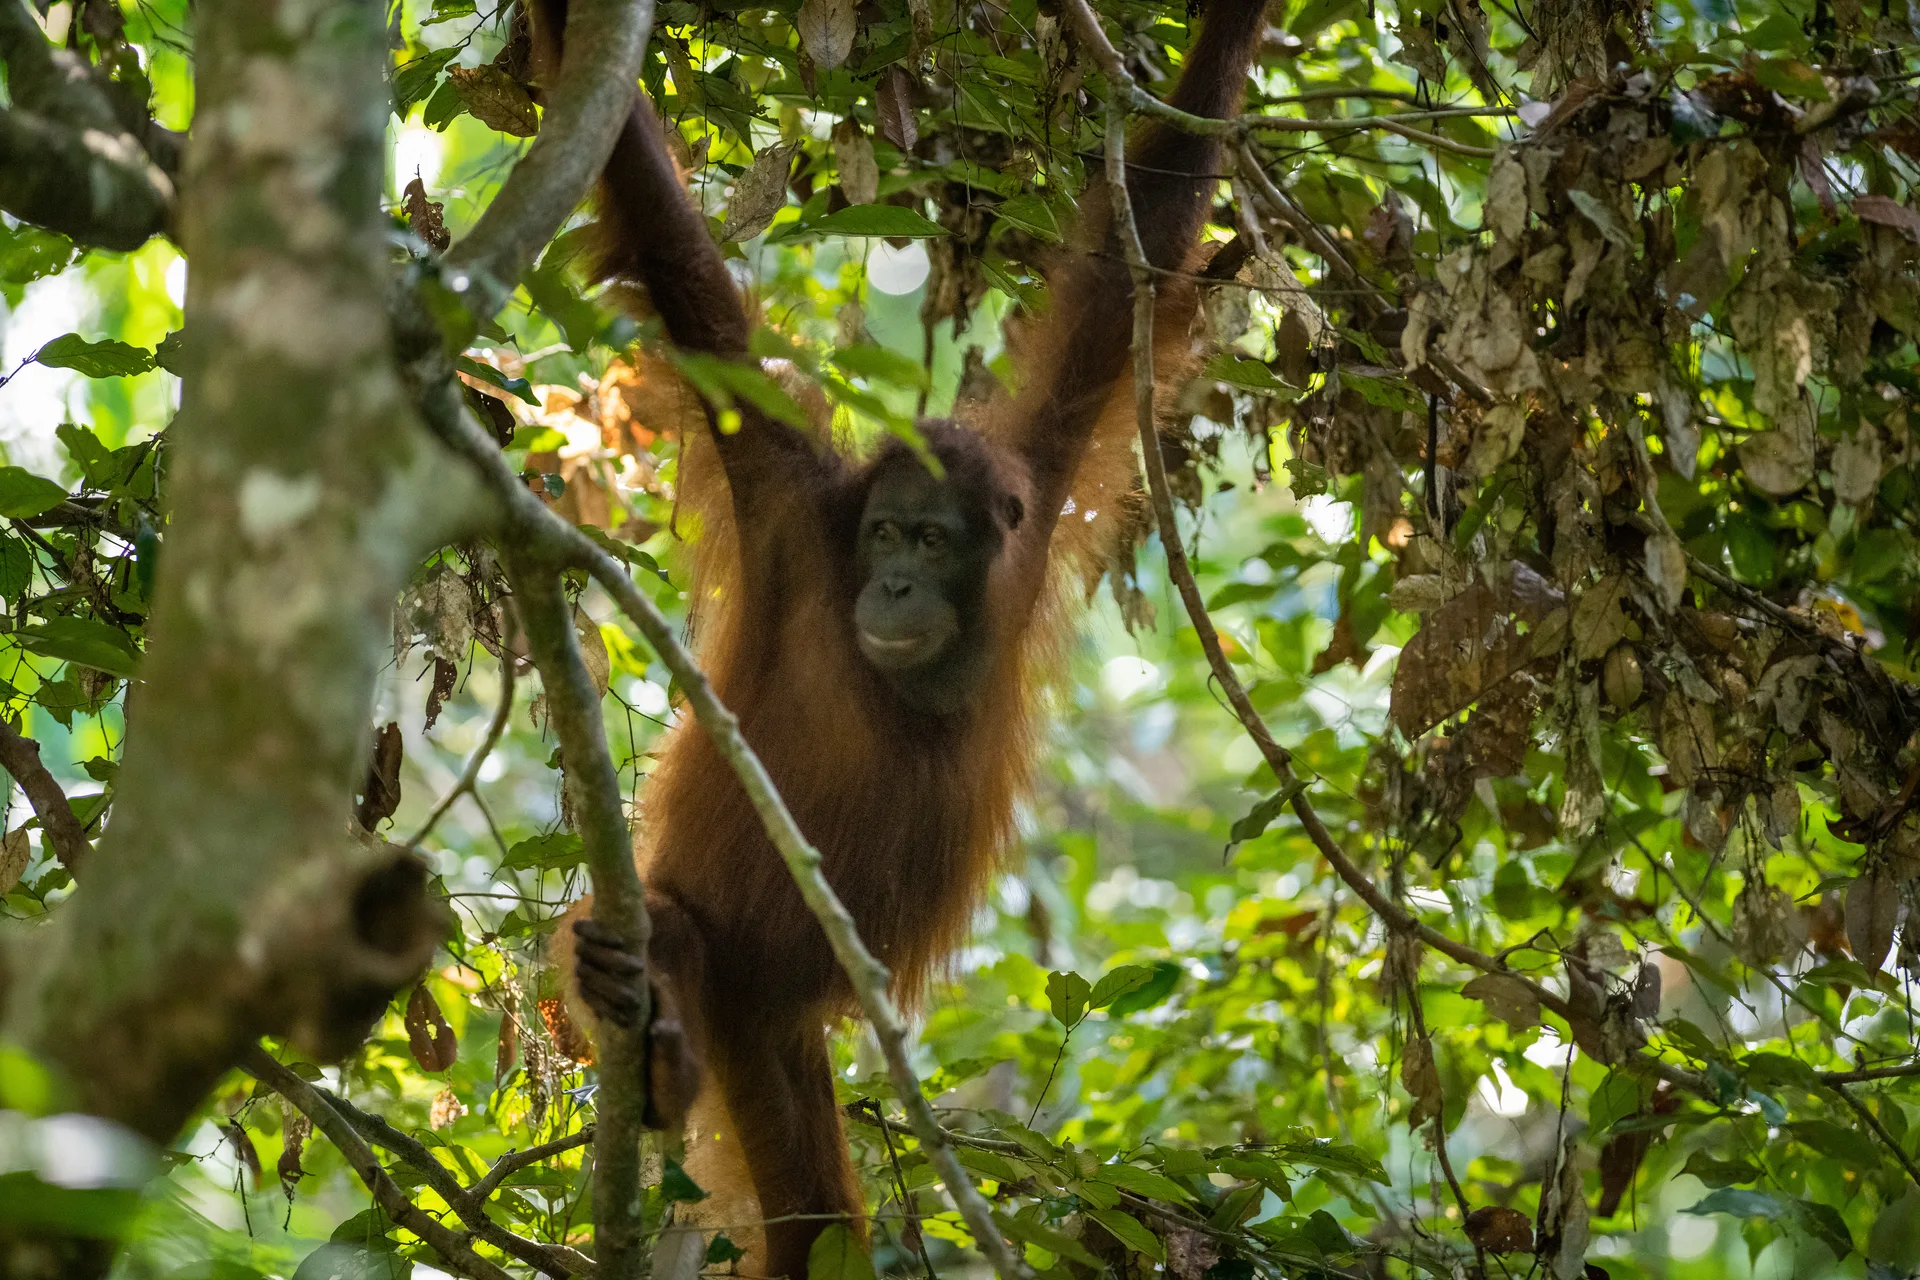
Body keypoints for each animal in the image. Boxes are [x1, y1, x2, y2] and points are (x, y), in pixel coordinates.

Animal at [531, 2, 1269, 1274]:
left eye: (932, 536)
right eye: (882, 532)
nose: (893, 585)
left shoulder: (1041, 478)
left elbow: (1146, 232)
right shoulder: (788, 503)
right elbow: (681, 273)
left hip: (777, 1039)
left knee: (817, 1219)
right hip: (722, 970)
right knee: (663, 929)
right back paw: (663, 1037)